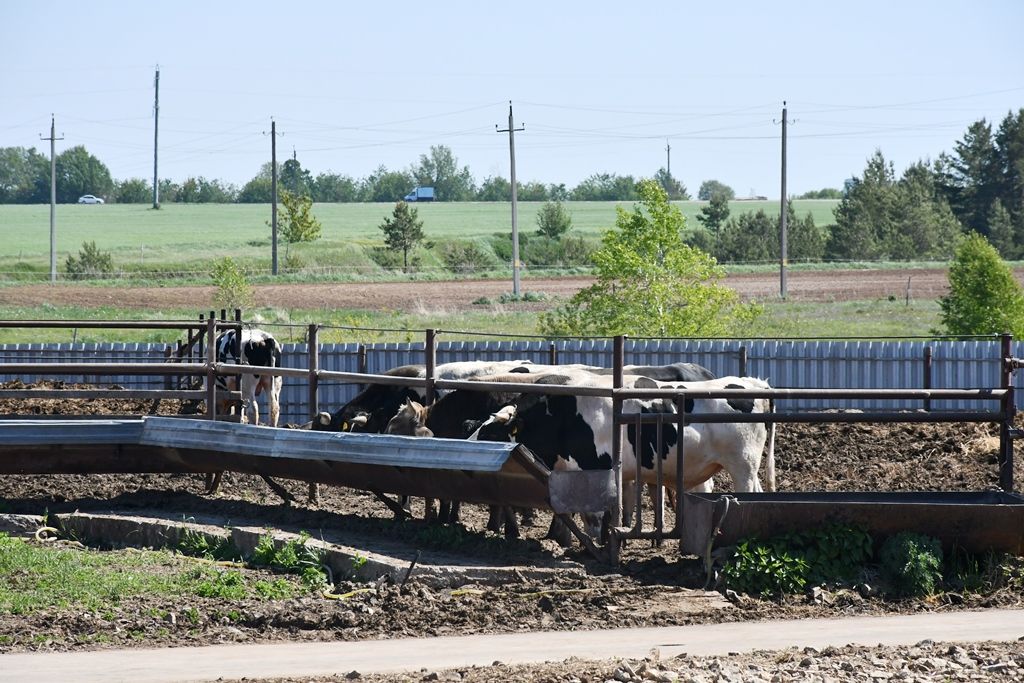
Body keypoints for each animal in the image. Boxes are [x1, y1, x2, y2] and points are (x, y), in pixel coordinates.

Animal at [471, 374, 774, 544]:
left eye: (490, 433)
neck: (561, 414)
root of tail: (752, 383)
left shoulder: (596, 468)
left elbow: (594, 514)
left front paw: (595, 543)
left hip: (743, 465)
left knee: (748, 493)